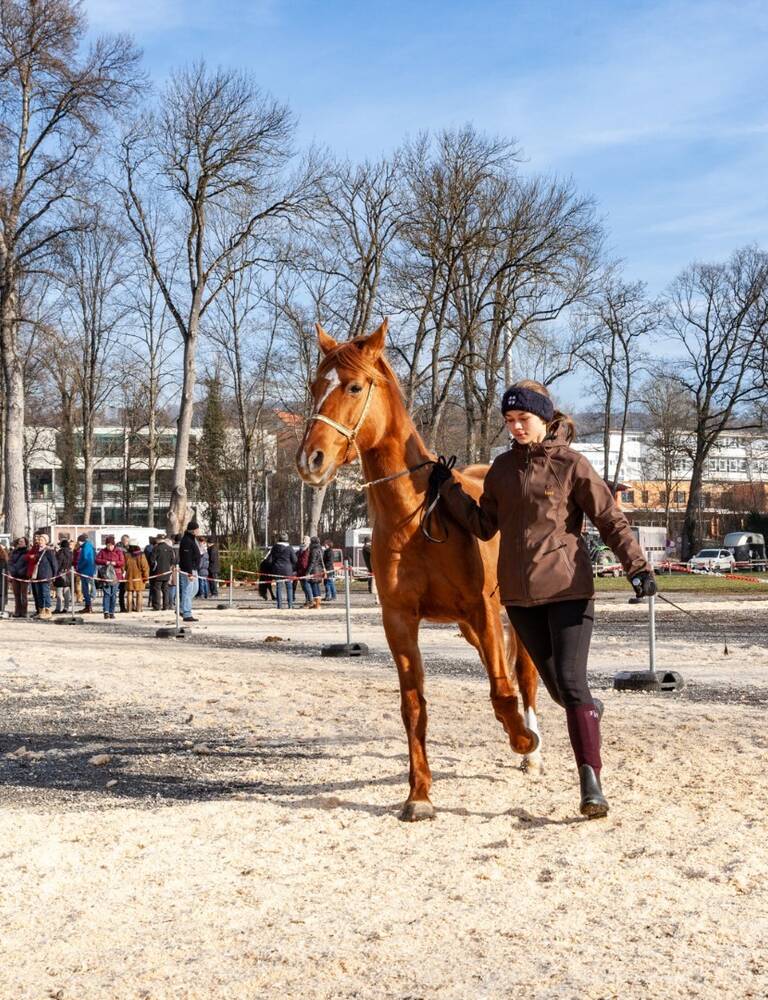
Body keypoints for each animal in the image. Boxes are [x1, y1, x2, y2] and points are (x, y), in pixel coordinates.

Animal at [294, 320, 540, 820]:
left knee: (524, 675)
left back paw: (532, 751)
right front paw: (419, 795)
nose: (311, 459)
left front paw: (523, 739)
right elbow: (414, 707)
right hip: (467, 627)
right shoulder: (401, 621)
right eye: (314, 386)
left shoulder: (483, 610)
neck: (418, 519)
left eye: (353, 386)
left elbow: (502, 689)